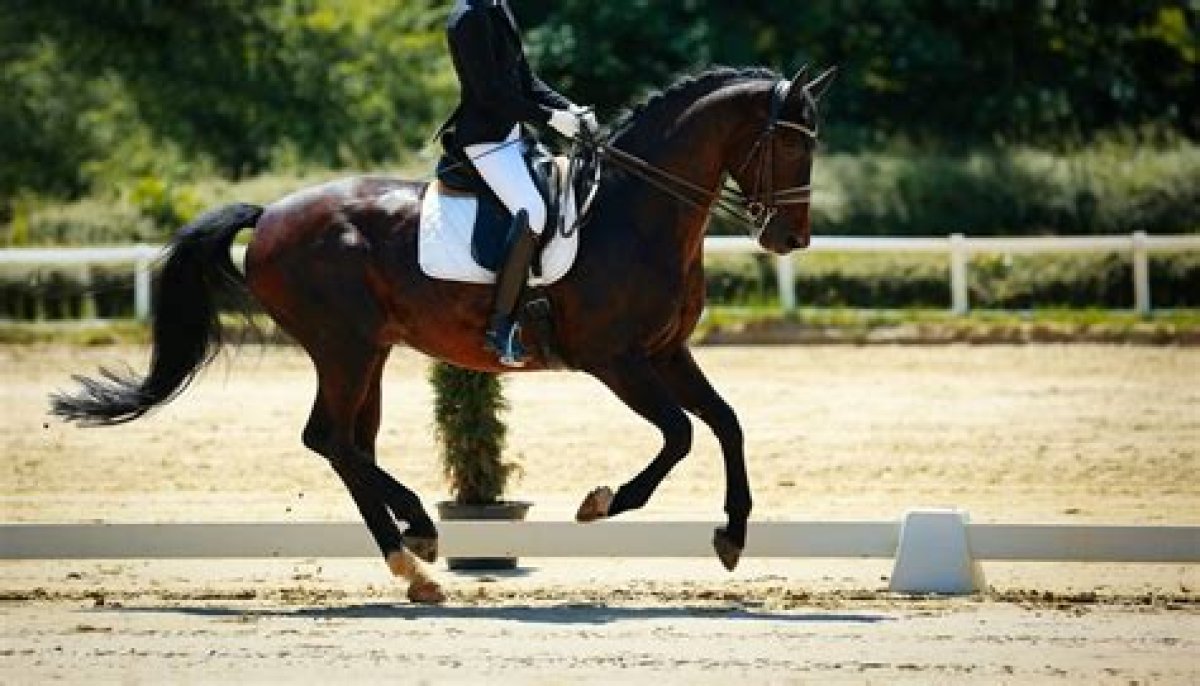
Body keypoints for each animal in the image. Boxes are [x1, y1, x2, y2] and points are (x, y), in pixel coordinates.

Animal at [51, 65, 835, 604]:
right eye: (788, 148)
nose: (790, 239)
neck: (635, 211)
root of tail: (270, 213)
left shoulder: (665, 351)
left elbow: (726, 423)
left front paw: (732, 536)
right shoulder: (614, 358)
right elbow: (680, 434)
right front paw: (602, 502)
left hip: (365, 352)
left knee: (345, 445)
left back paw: (415, 555)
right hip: (344, 347)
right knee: (329, 439)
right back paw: (417, 543)